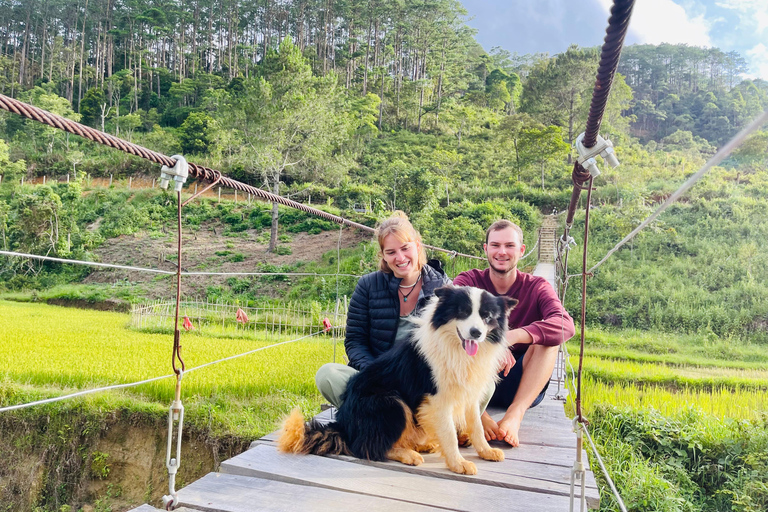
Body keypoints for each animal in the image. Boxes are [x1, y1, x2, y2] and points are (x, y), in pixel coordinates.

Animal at [276, 286, 516, 474]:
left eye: (487, 316)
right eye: (463, 312)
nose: (476, 333)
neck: (456, 348)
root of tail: (344, 425)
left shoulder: (469, 393)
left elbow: (476, 425)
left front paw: (486, 451)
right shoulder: (437, 398)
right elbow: (449, 433)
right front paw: (458, 463)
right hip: (390, 401)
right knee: (367, 447)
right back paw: (409, 455)